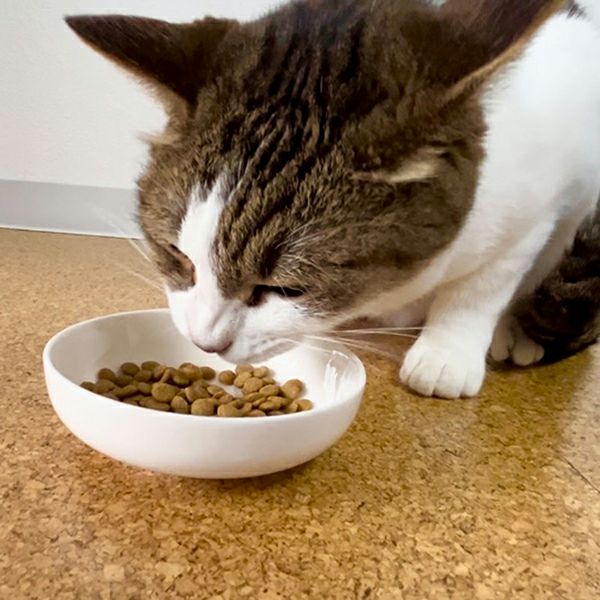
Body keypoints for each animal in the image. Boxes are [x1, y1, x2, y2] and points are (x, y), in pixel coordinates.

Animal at [66, 0, 600, 399]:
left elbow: (483, 284)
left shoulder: (543, 197)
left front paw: (446, 354)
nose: (205, 343)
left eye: (286, 288)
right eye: (178, 257)